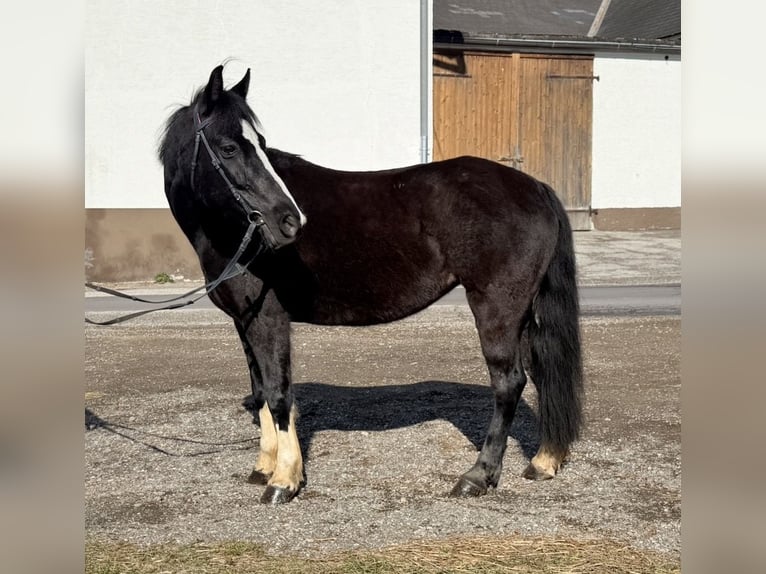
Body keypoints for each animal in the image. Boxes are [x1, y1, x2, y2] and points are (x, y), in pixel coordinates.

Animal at [158, 65, 583, 504]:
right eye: (228, 147)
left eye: (259, 144)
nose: (290, 221)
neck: (232, 231)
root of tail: (535, 187)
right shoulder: (244, 321)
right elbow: (261, 390)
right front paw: (264, 467)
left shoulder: (269, 320)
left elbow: (278, 393)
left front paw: (284, 480)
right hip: (523, 312)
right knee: (540, 372)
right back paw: (543, 462)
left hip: (497, 307)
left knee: (508, 383)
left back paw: (477, 476)